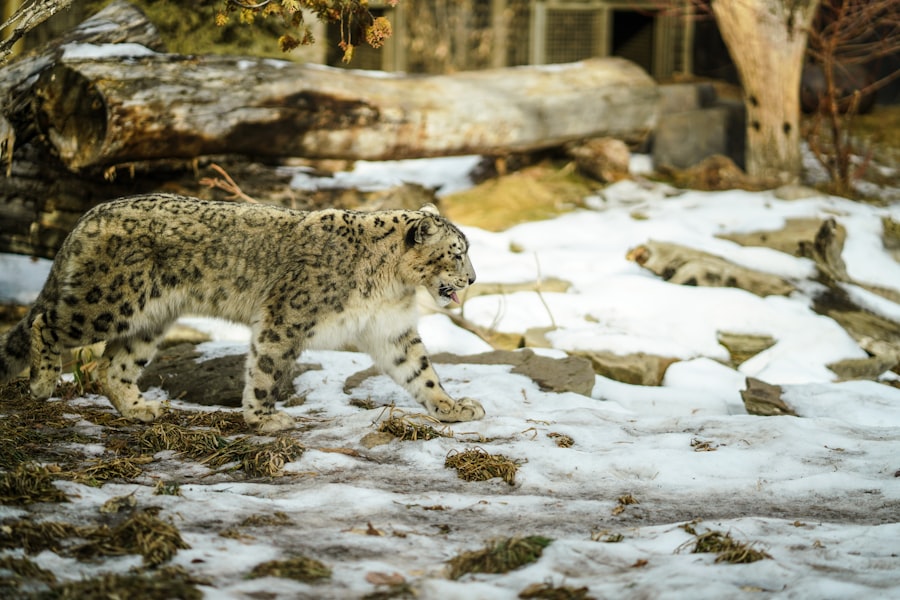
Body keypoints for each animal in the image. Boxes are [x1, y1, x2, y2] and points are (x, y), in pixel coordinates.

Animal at [0, 193, 485, 432]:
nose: (474, 279)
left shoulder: (391, 329)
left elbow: (420, 371)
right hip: (108, 301)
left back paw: (141, 410)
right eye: (457, 252)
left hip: (149, 320)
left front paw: (453, 407)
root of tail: (89, 215)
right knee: (45, 323)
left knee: (112, 367)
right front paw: (265, 419)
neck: (391, 285)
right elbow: (267, 370)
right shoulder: (286, 317)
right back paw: (42, 382)